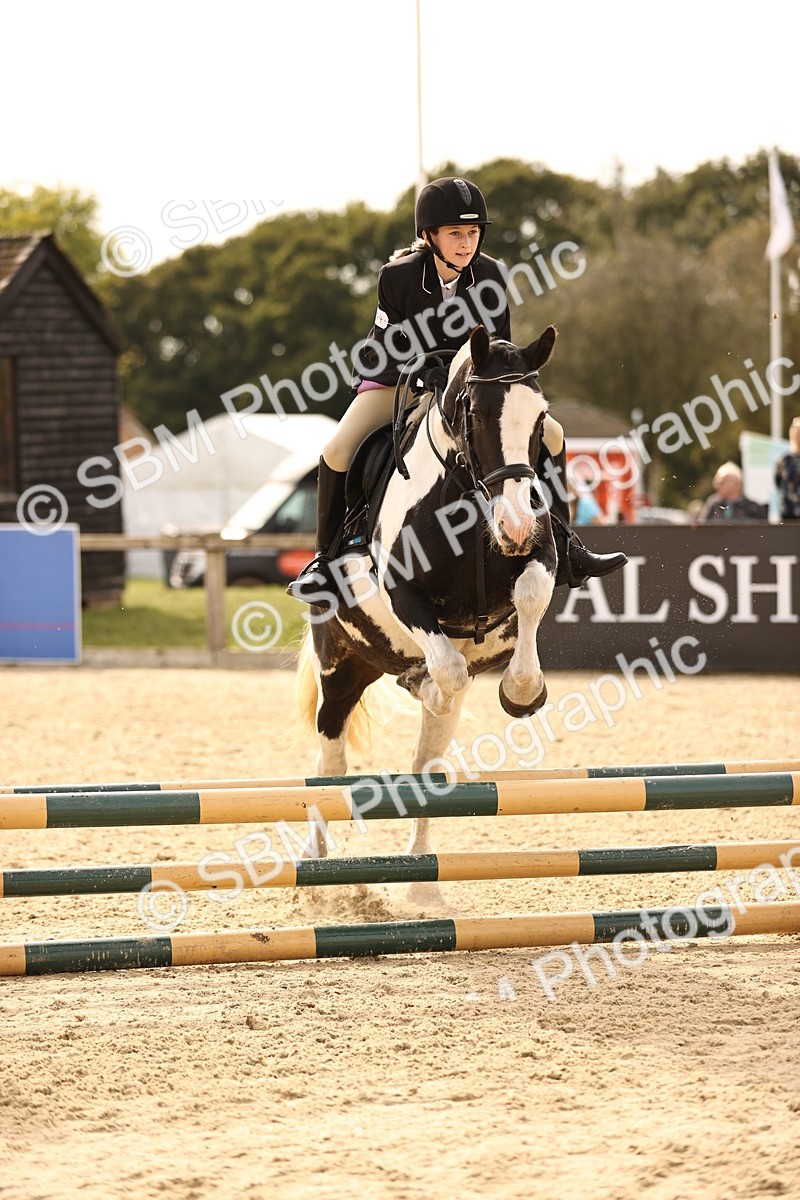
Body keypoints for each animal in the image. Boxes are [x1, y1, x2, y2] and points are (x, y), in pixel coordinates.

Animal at [296, 323, 558, 897]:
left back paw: (421, 880)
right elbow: (451, 671)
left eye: (541, 418)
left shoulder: (542, 556)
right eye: (474, 414)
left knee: (425, 765)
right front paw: (431, 682)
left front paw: (522, 691)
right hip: (340, 668)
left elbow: (529, 598)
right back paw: (318, 870)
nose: (514, 525)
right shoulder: (401, 592)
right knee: (331, 761)